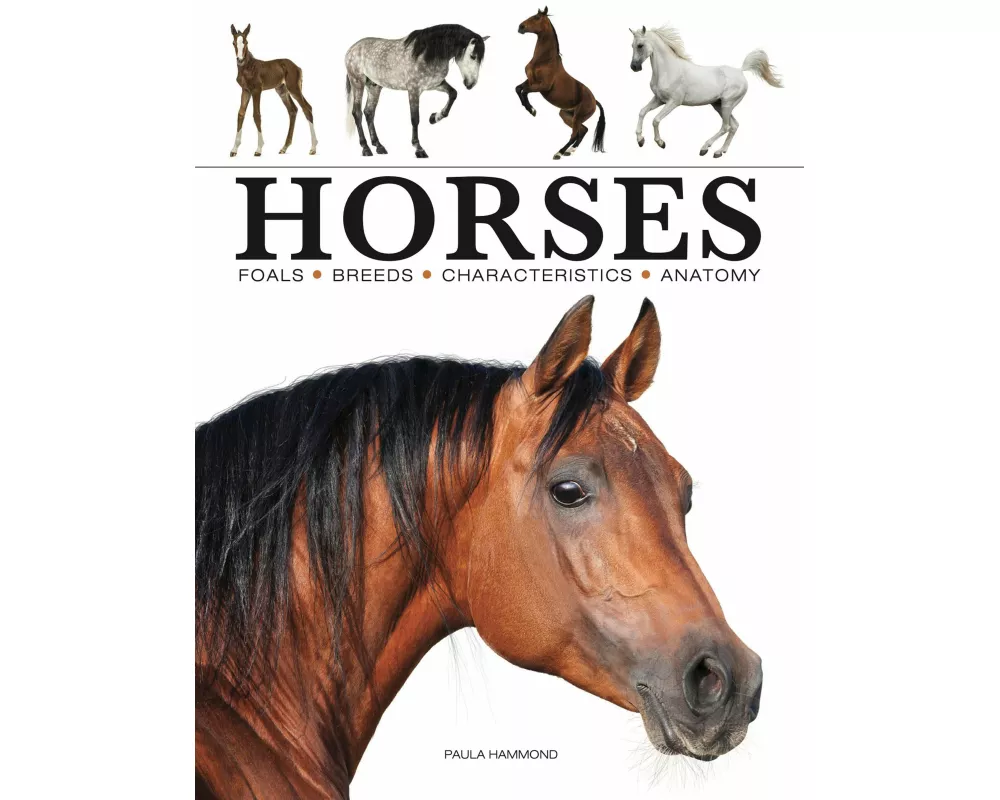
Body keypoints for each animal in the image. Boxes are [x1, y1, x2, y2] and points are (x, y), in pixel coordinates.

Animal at [228, 25, 317, 158]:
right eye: (233, 43)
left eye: (246, 42)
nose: (240, 60)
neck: (248, 67)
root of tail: (297, 67)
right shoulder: (245, 90)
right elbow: (240, 114)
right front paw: (234, 149)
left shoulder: (257, 90)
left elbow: (256, 115)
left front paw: (259, 149)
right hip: (282, 90)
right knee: (293, 110)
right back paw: (284, 147)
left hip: (294, 88)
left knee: (307, 108)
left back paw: (313, 148)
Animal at [344, 25, 489, 158]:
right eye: (473, 56)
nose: (470, 84)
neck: (426, 53)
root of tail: (351, 49)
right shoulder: (414, 90)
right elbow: (415, 119)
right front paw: (419, 148)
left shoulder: (435, 84)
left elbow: (453, 94)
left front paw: (434, 117)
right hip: (358, 83)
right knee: (357, 113)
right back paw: (365, 148)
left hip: (374, 86)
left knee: (369, 113)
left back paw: (379, 146)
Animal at [516, 7, 607, 160]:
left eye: (536, 17)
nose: (520, 27)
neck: (544, 60)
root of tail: (595, 101)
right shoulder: (530, 81)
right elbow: (518, 89)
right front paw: (530, 109)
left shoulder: (543, 86)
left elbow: (524, 91)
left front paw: (532, 110)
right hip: (566, 115)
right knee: (583, 130)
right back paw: (570, 151)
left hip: (577, 117)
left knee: (575, 134)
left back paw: (559, 152)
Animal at [629, 26, 782, 158]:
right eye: (632, 45)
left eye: (640, 45)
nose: (634, 67)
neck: (668, 70)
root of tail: (740, 71)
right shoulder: (659, 99)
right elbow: (642, 112)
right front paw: (640, 140)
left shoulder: (674, 102)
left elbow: (656, 120)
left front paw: (660, 143)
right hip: (718, 105)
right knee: (734, 126)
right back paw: (720, 152)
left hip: (727, 104)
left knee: (726, 127)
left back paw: (705, 148)